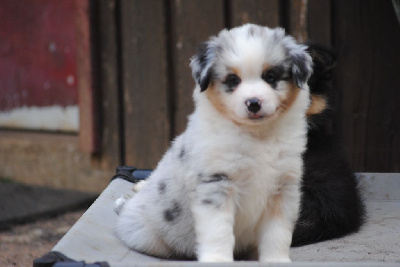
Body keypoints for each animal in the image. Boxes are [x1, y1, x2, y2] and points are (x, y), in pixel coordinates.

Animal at [115, 24, 312, 262]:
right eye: (233, 80)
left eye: (271, 77)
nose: (253, 103)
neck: (256, 136)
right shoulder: (216, 185)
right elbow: (219, 231)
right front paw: (218, 259)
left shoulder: (283, 188)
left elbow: (278, 233)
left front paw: (276, 261)